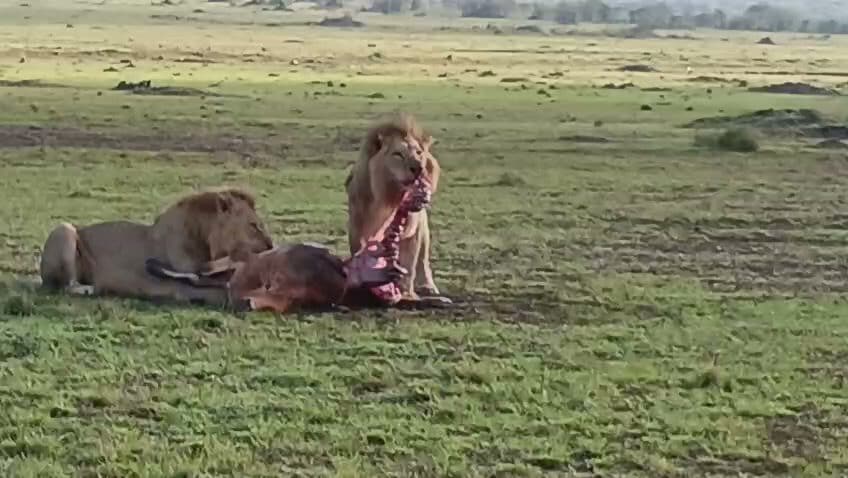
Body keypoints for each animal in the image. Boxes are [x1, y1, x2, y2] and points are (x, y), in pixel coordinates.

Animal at [39, 188, 274, 306]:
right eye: (254, 225)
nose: (271, 244)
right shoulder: (178, 285)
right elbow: (218, 291)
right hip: (64, 229)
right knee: (66, 285)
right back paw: (88, 289)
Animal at [344, 113, 449, 304]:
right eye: (397, 154)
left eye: (418, 153)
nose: (419, 168)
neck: (389, 197)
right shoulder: (357, 226)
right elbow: (359, 253)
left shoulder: (412, 231)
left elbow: (410, 265)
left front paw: (407, 293)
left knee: (423, 261)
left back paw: (428, 287)